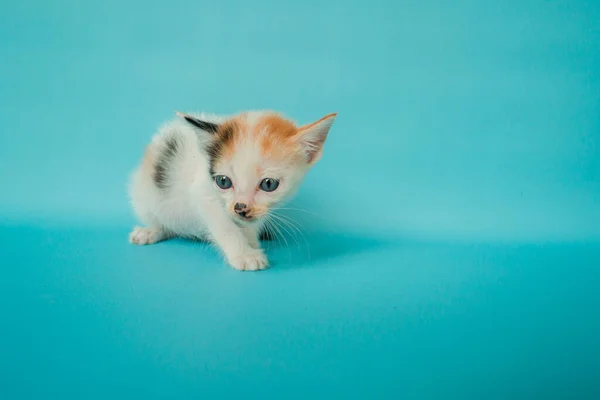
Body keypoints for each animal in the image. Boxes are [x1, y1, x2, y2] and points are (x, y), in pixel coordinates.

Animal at [127, 111, 338, 270]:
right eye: (223, 181)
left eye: (269, 184)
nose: (240, 207)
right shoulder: (203, 192)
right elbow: (225, 226)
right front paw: (244, 255)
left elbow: (250, 224)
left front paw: (251, 242)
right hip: (144, 196)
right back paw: (151, 231)